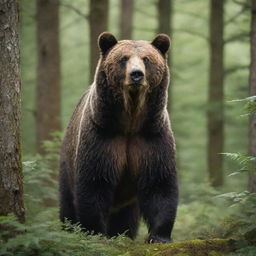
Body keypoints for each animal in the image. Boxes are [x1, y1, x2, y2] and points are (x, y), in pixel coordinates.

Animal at [58, 31, 178, 243]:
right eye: (124, 58)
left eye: (146, 59)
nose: (136, 74)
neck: (130, 121)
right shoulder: (103, 135)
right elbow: (94, 183)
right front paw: (95, 232)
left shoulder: (151, 136)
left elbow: (159, 183)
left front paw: (159, 236)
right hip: (67, 162)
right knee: (67, 203)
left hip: (128, 201)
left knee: (125, 217)